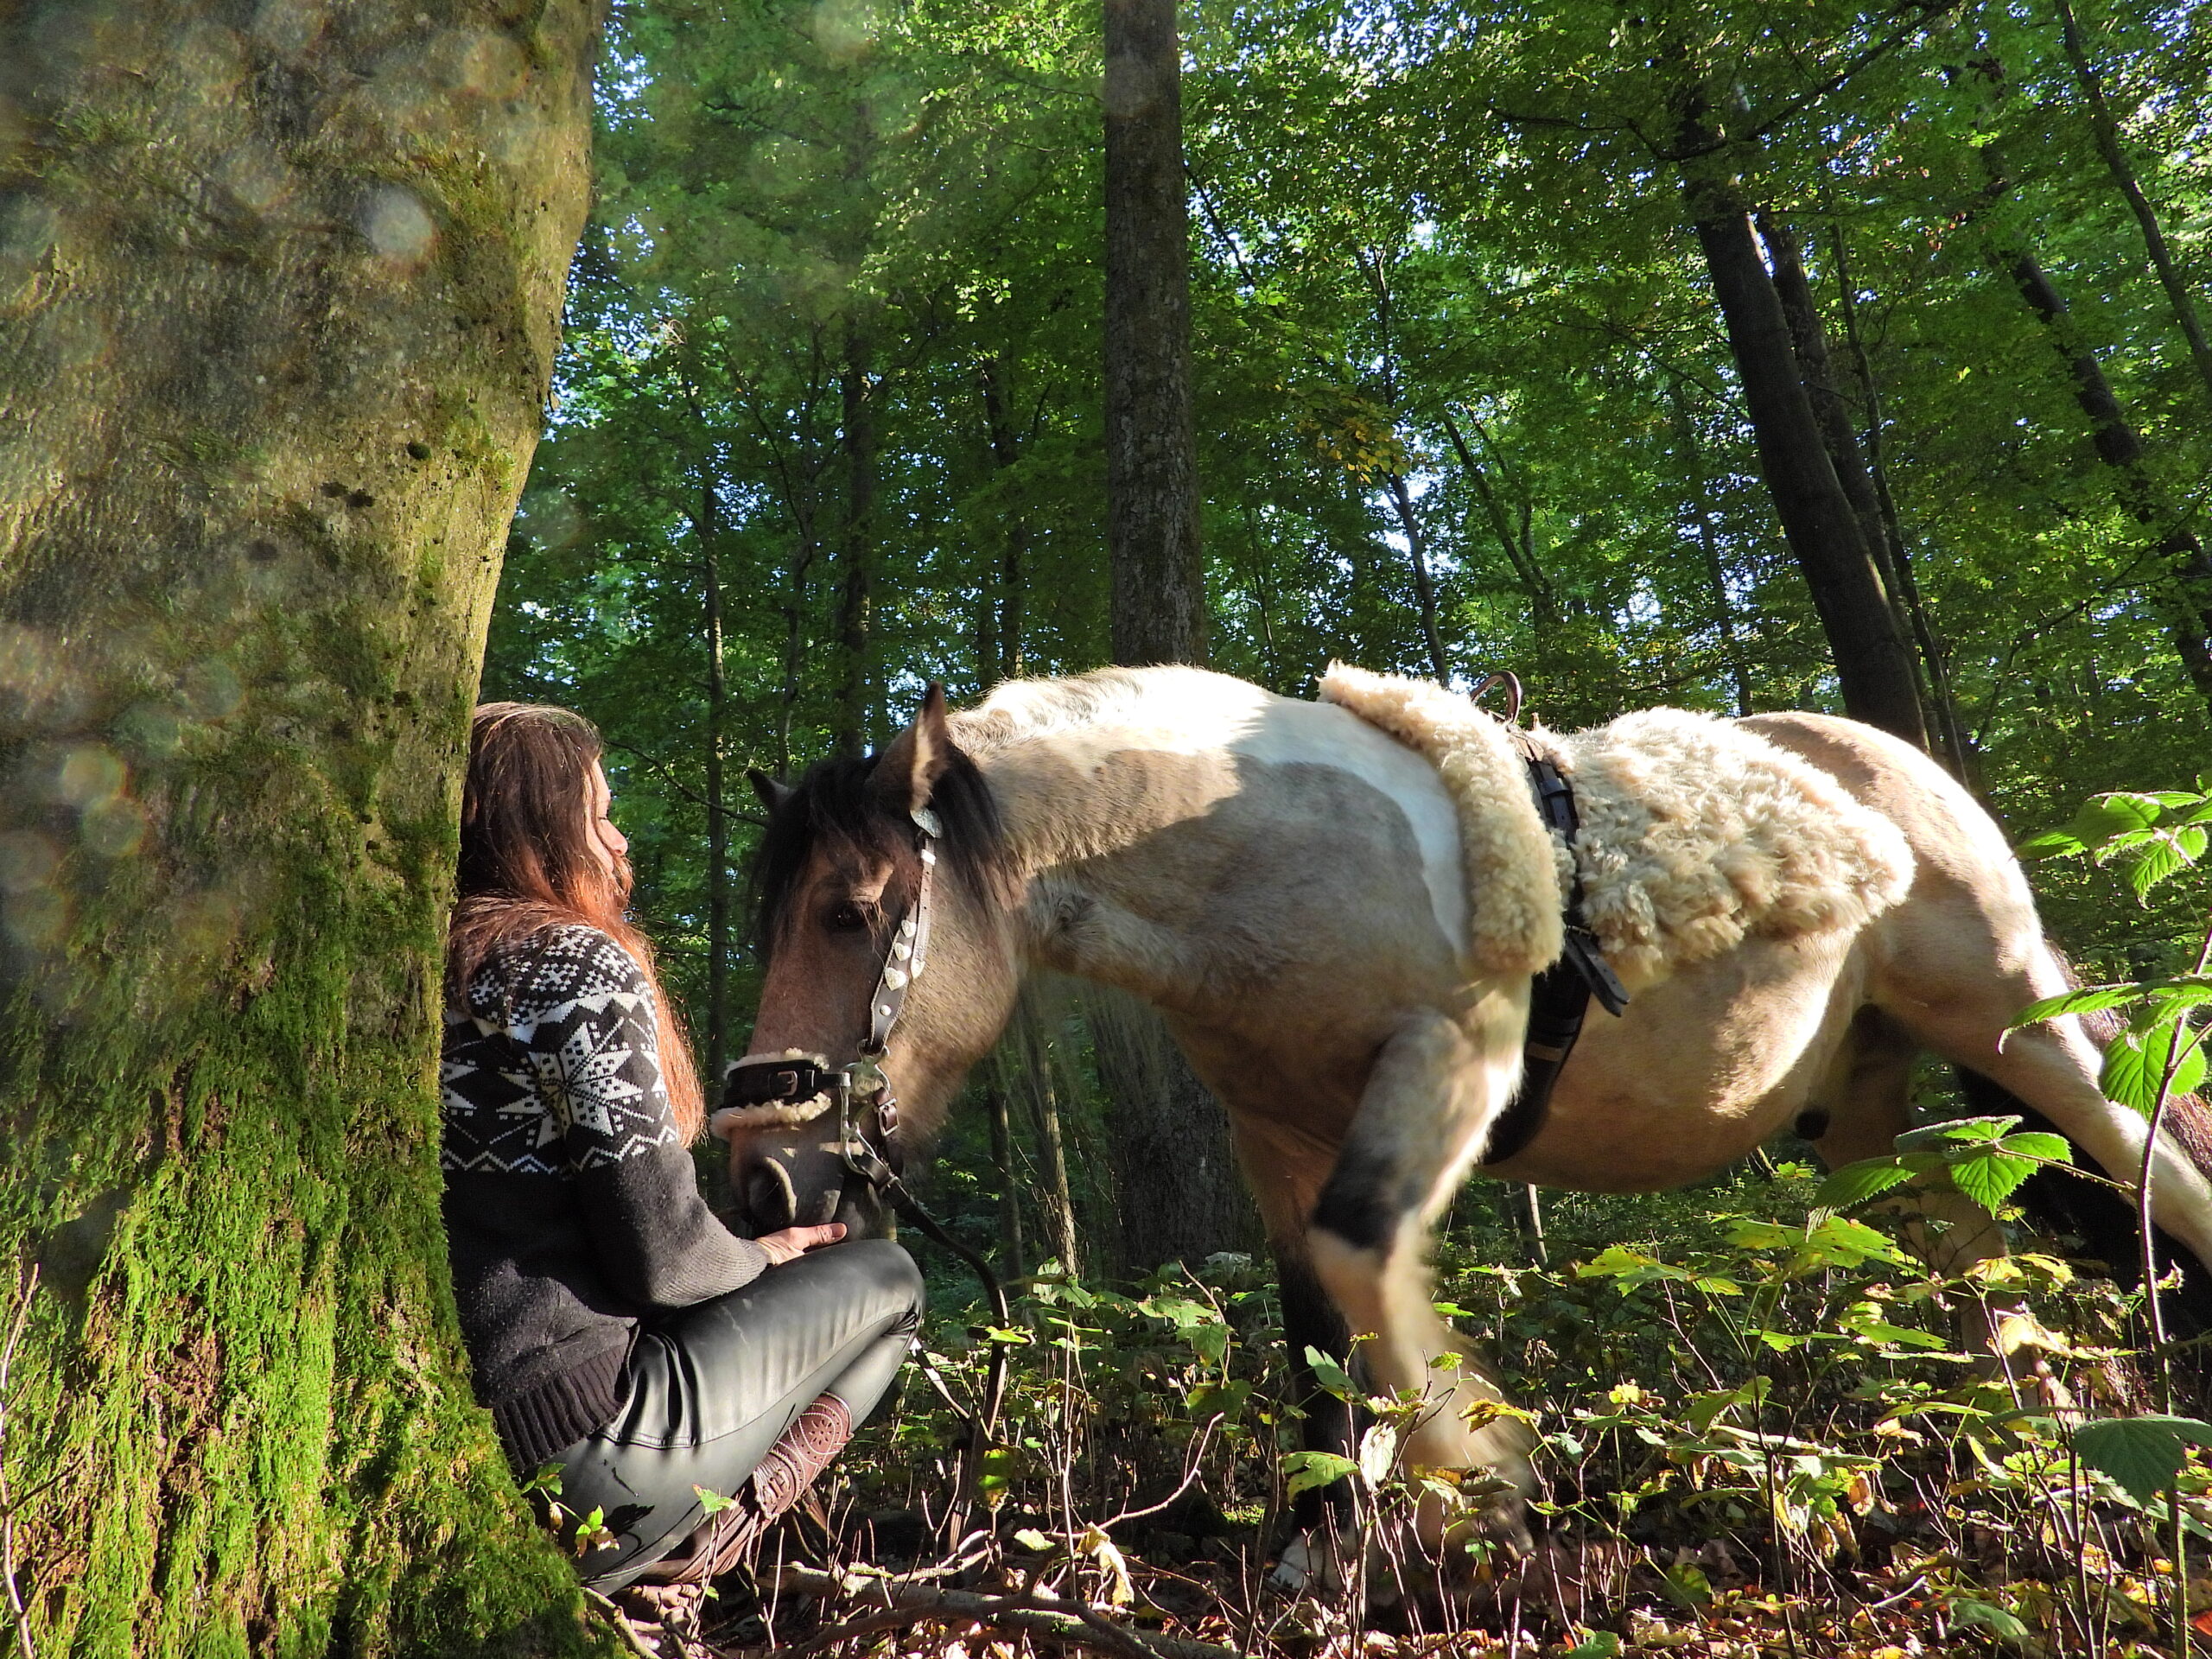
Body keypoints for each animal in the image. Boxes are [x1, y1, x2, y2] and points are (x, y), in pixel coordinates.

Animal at [703, 664, 2212, 1548]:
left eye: (850, 913)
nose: (762, 1180)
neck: (1259, 854)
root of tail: (1895, 770)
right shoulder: (1275, 1137)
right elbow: (1313, 1327)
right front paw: (1323, 1545)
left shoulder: (1451, 1070)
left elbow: (1367, 1251)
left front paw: (1478, 1480)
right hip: (1865, 1118)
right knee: (1965, 1261)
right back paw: (2026, 1464)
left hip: (2023, 1028)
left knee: (2156, 1170)